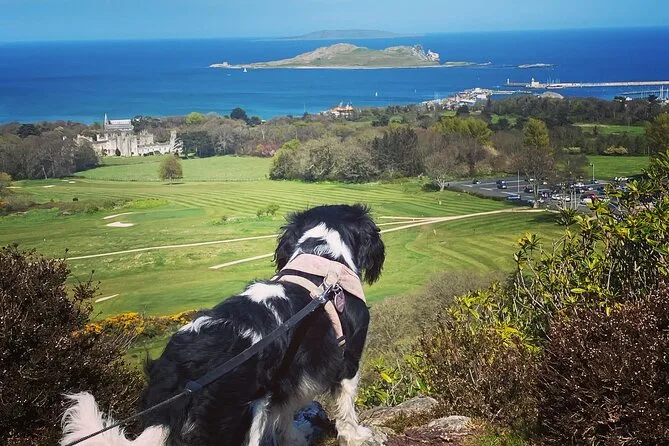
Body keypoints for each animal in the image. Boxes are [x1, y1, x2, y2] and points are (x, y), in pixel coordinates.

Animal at [61, 204, 385, 446]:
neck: (324, 261)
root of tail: (180, 370)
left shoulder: (286, 379)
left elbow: (284, 418)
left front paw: (296, 437)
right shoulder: (347, 361)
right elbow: (346, 409)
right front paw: (358, 436)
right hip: (240, 417)